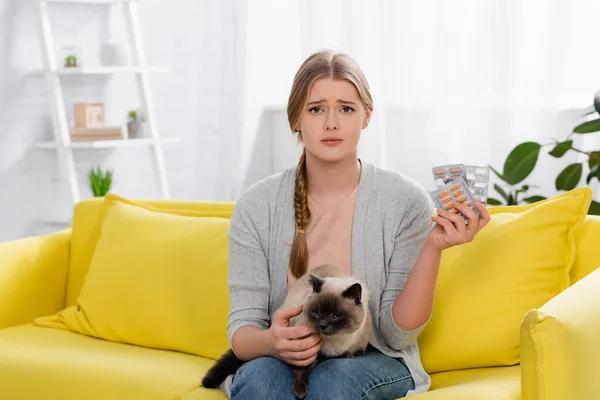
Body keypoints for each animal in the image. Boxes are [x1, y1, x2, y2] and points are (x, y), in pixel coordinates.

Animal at [203, 264, 370, 398]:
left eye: (337, 315)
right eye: (316, 312)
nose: (323, 325)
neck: (332, 342)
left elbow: (346, 353)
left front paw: (350, 354)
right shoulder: (303, 349)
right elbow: (302, 371)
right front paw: (300, 392)